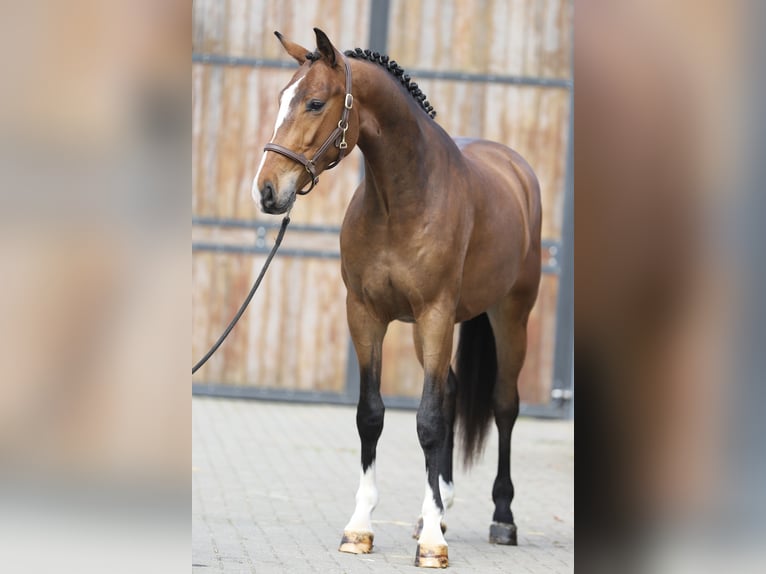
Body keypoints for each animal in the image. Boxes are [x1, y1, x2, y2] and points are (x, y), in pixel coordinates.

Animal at [252, 28, 541, 569]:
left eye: (315, 102)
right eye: (281, 98)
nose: (266, 190)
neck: (401, 202)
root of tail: (515, 166)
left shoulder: (434, 314)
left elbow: (427, 421)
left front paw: (432, 545)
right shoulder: (366, 315)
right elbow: (372, 415)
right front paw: (361, 527)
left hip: (510, 314)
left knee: (504, 405)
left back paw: (502, 519)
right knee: (450, 391)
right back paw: (440, 508)